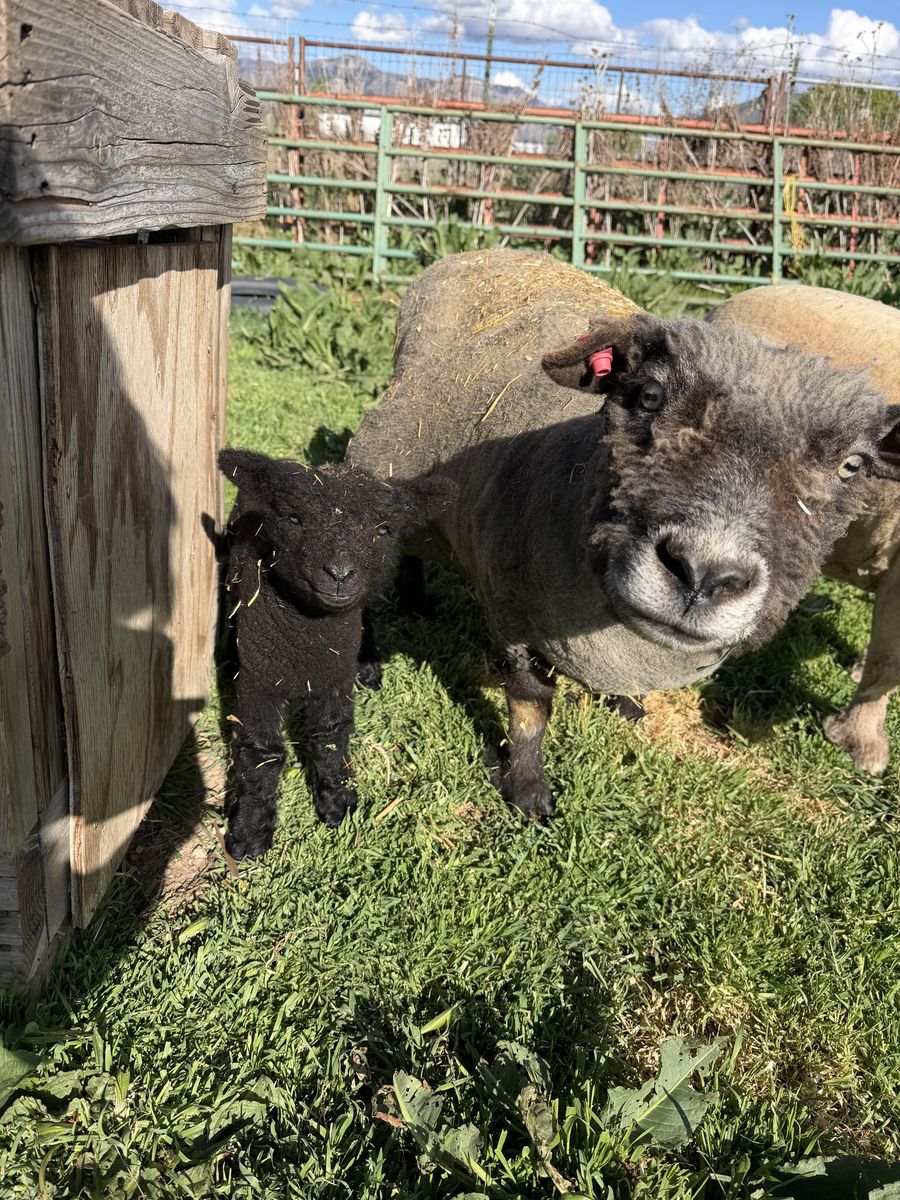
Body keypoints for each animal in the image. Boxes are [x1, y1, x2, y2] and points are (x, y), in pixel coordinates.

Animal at [219, 448, 454, 859]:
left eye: (383, 530)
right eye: (294, 519)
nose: (340, 575)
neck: (306, 646)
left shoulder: (334, 677)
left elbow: (331, 736)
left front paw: (338, 805)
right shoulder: (258, 683)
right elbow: (260, 752)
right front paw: (248, 834)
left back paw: (369, 667)